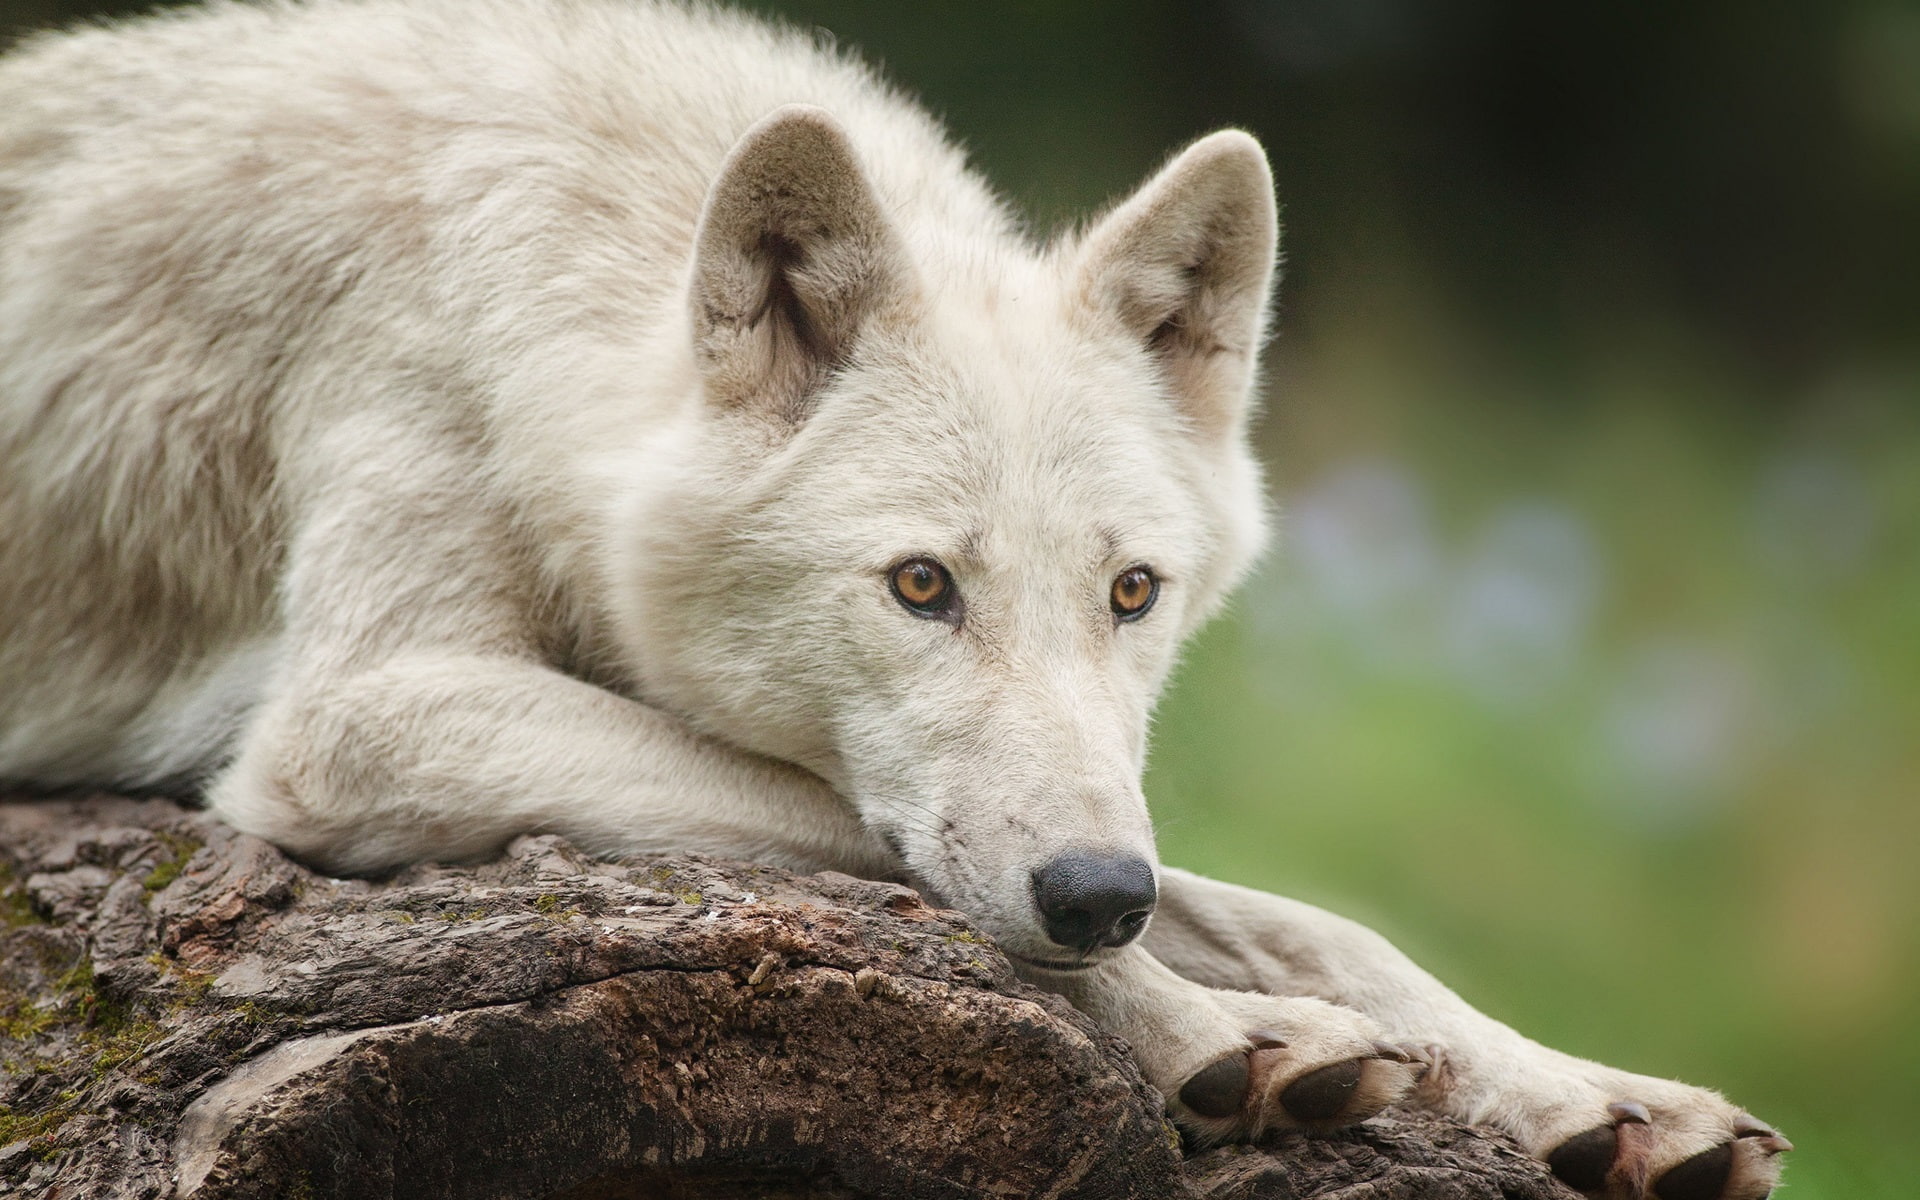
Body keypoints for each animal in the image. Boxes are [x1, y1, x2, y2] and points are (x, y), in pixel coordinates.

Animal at [0, 0, 1787, 1194]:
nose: (1098, 896)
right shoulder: (355, 718)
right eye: (921, 586)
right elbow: (866, 838)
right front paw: (1214, 1032)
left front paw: (1588, 1097)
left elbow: (1309, 916)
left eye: (1133, 591)